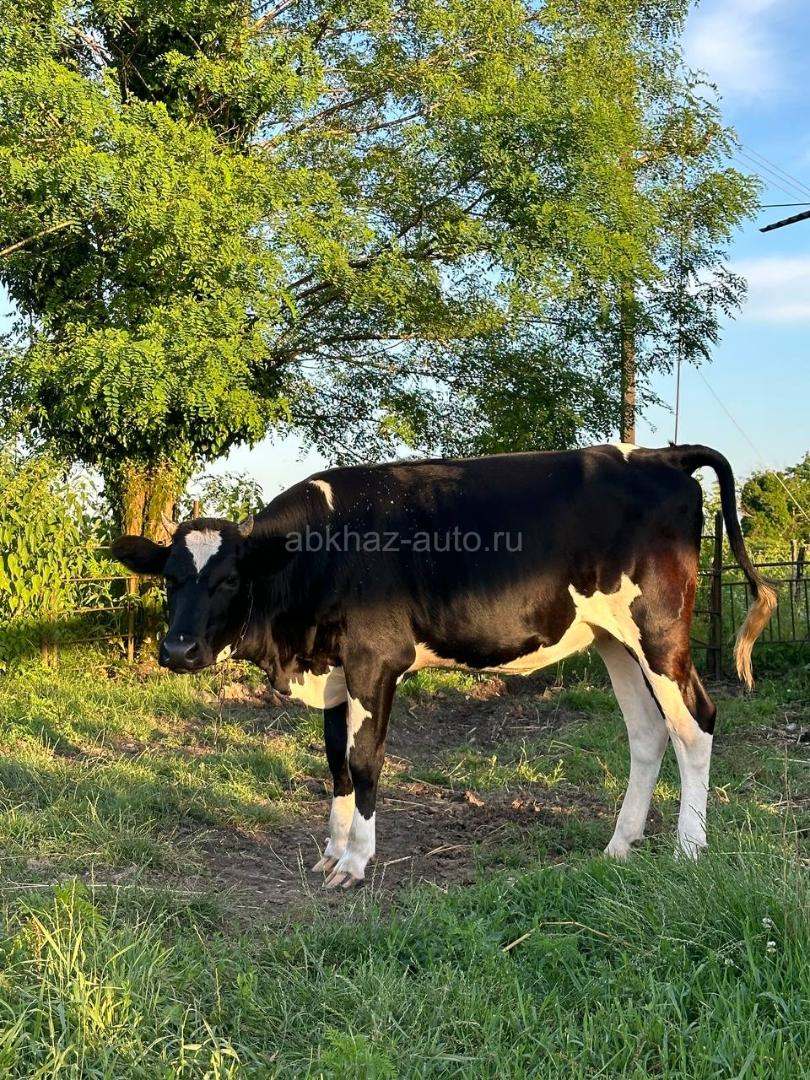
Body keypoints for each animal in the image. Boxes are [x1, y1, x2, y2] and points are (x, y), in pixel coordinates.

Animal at [112, 444, 775, 888]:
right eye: (170, 578)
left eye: (228, 579)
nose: (177, 651)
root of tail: (663, 454)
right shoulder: (335, 673)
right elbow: (336, 764)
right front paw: (332, 850)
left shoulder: (375, 661)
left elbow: (364, 761)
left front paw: (355, 862)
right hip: (613, 638)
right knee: (646, 732)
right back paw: (619, 844)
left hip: (660, 632)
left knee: (695, 725)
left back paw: (689, 848)